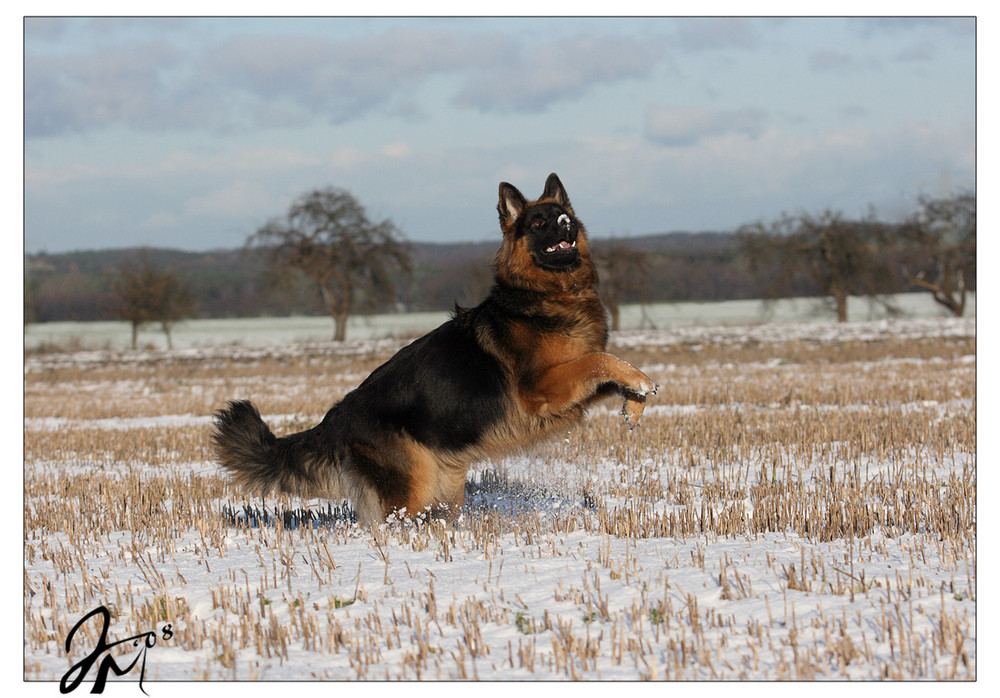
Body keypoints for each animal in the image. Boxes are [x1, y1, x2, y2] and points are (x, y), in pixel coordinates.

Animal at [213, 174, 656, 520]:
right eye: (539, 222)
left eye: (566, 219)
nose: (566, 224)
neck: (547, 296)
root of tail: (336, 417)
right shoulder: (542, 389)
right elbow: (600, 359)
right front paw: (641, 385)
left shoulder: (569, 391)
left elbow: (608, 366)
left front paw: (634, 402)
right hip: (416, 487)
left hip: (444, 487)